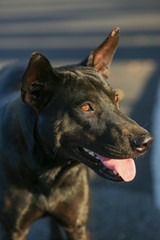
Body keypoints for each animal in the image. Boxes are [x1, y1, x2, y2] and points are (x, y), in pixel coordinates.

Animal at [0, 27, 153, 239]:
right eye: (86, 107)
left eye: (115, 98)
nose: (146, 141)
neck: (50, 171)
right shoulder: (14, 230)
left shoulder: (77, 225)